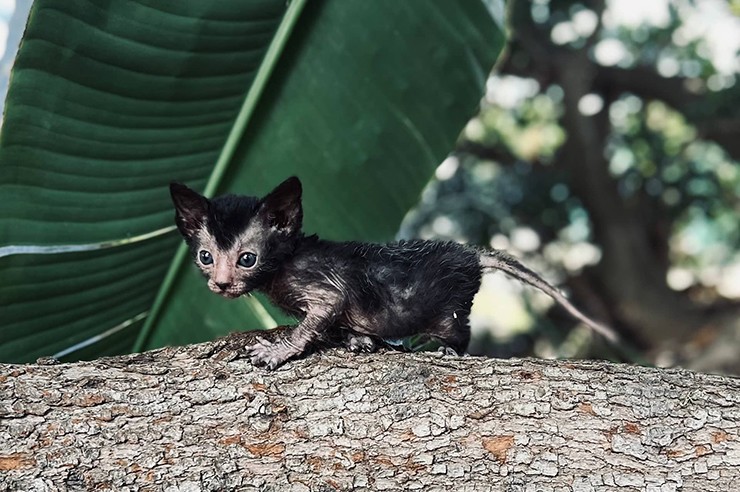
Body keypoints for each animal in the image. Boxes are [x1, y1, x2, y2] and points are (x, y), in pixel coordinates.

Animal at [171, 177, 616, 368]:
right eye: (205, 256)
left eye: (247, 259)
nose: (220, 284)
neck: (284, 266)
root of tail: (470, 254)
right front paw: (358, 340)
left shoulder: (326, 290)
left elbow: (312, 323)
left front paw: (276, 351)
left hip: (448, 308)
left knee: (461, 332)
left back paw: (444, 350)